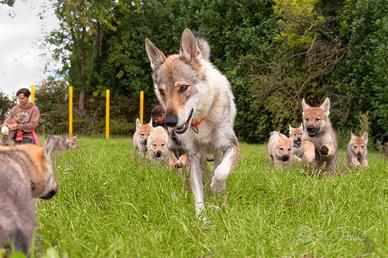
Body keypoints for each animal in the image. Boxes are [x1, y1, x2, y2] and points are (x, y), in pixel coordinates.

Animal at [146, 28, 239, 217]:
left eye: (183, 88)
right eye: (162, 91)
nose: (169, 121)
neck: (200, 123)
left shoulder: (233, 145)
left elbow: (221, 172)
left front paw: (216, 187)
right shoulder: (193, 156)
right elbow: (198, 195)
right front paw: (201, 219)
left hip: (218, 152)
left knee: (217, 167)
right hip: (194, 156)